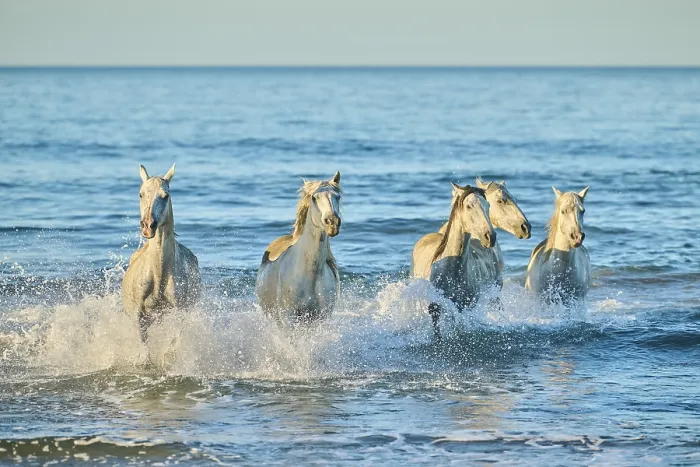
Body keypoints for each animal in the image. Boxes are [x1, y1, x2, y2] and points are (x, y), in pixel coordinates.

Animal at [122, 163, 201, 341]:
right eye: (141, 194)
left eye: (165, 195)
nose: (148, 226)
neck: (159, 274)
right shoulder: (139, 316)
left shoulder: (180, 313)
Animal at [255, 172, 342, 325]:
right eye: (314, 198)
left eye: (338, 196)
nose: (332, 223)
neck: (310, 272)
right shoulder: (288, 317)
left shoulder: (320, 317)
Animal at [411, 183, 497, 340]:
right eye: (468, 206)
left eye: (488, 205)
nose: (490, 237)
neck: (451, 271)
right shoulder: (435, 308)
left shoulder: (462, 307)